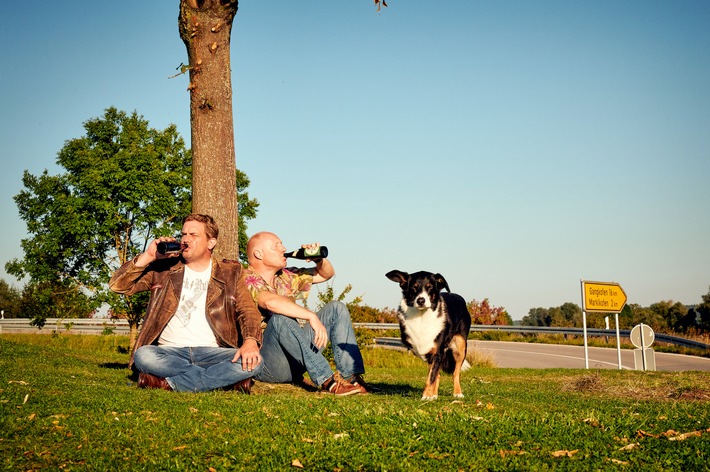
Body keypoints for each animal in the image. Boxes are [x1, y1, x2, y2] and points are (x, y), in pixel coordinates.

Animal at [384, 272, 472, 400]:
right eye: (414, 287)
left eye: (430, 287)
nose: (421, 300)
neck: (422, 317)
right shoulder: (427, 351)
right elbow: (433, 375)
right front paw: (430, 395)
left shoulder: (437, 352)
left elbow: (431, 377)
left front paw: (426, 396)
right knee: (438, 374)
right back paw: (434, 395)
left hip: (460, 345)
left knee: (455, 373)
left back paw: (457, 393)